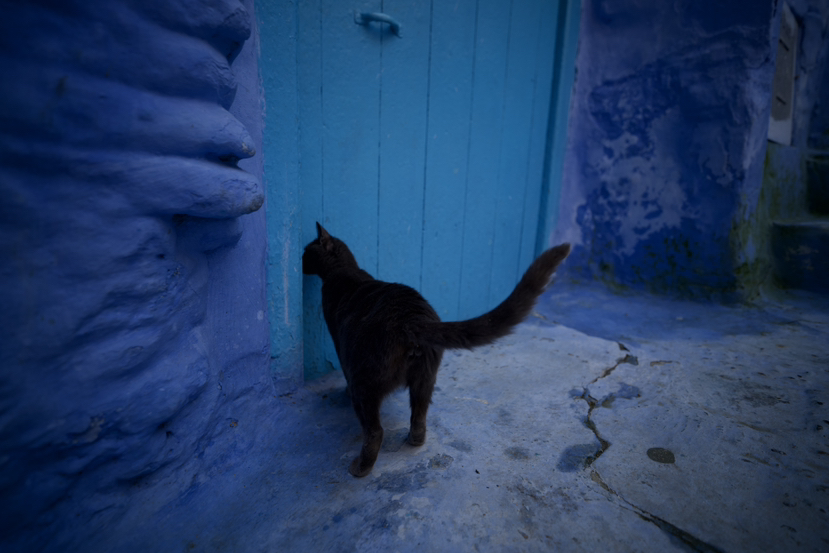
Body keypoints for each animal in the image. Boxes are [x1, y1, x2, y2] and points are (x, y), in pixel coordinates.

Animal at [302, 222, 571, 477]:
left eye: (305, 252)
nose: (300, 262)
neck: (342, 268)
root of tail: (411, 319)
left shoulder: (339, 341)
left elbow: (343, 368)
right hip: (426, 377)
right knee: (420, 416)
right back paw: (414, 440)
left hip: (366, 382)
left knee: (375, 430)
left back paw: (360, 468)